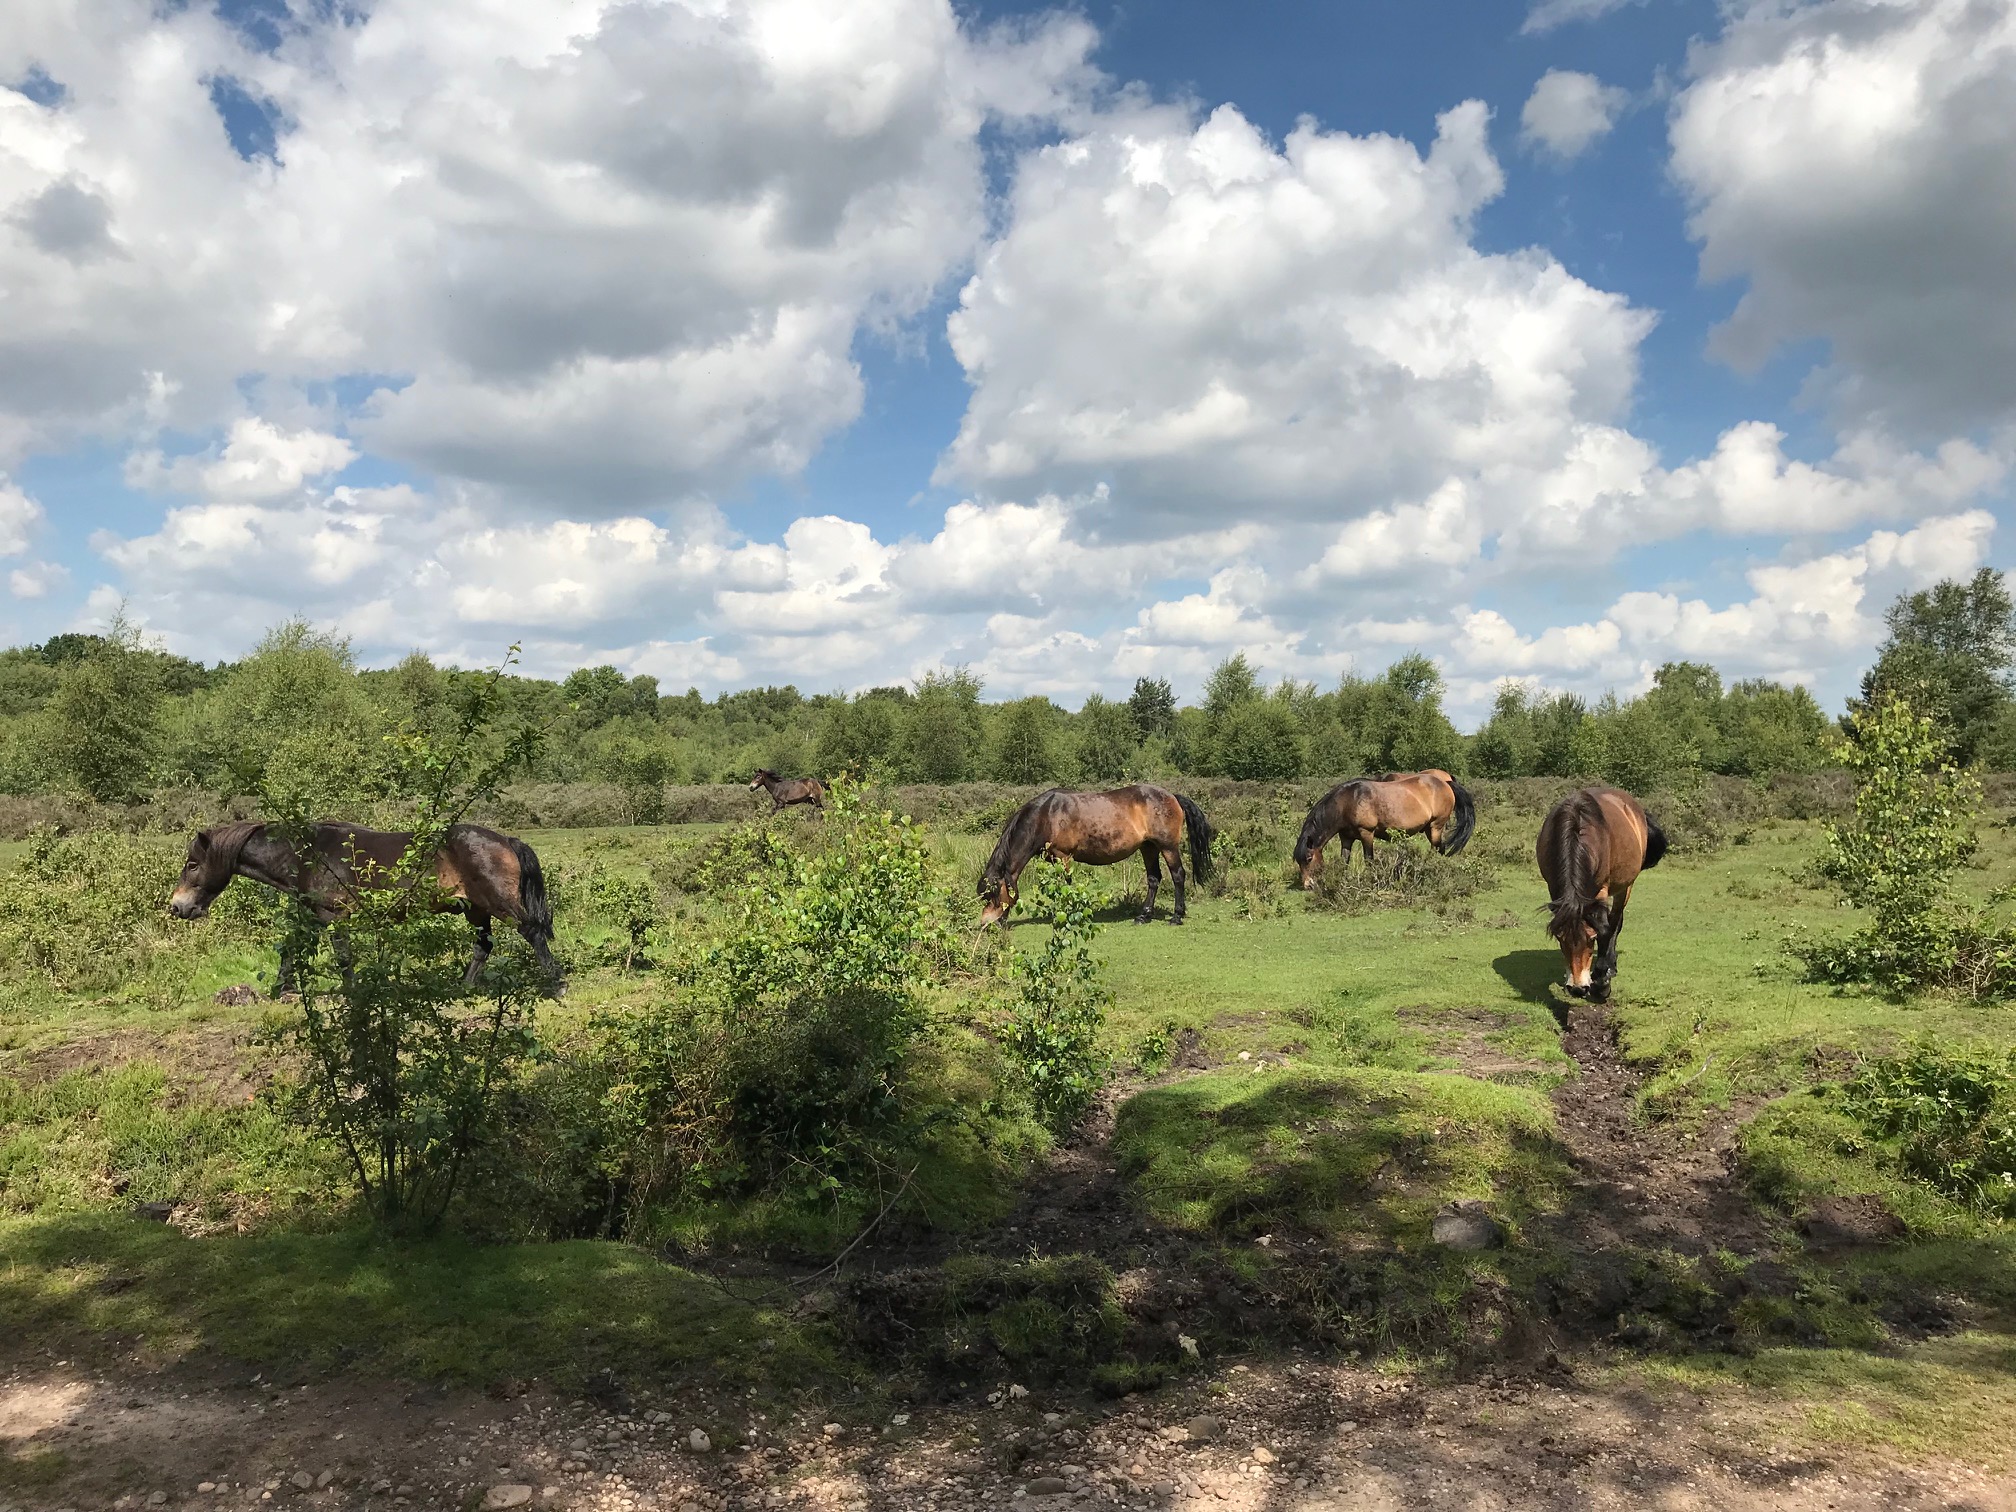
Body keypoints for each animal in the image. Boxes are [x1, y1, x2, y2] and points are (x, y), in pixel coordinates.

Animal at [166, 820, 561, 996]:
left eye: (192, 864)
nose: (176, 907)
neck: (305, 854)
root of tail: (506, 839)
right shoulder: (310, 915)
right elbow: (291, 949)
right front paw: (281, 990)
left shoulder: (334, 916)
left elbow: (343, 958)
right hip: (474, 909)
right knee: (483, 946)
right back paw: (461, 987)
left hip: (499, 905)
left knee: (532, 933)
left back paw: (557, 986)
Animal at [978, 784, 1215, 926]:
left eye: (992, 894)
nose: (986, 924)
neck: (1046, 815)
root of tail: (1172, 796)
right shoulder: (1053, 858)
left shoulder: (1064, 856)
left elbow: (1066, 884)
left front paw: (1066, 914)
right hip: (1148, 847)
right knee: (1154, 878)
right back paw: (1143, 915)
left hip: (1168, 847)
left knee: (1178, 876)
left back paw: (1176, 916)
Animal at [1291, 769, 1475, 887]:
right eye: (1298, 861)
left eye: (1309, 858)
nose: (1308, 885)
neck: (1349, 801)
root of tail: (1445, 783)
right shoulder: (1346, 837)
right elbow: (1344, 861)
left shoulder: (1366, 833)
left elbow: (1369, 860)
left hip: (1436, 827)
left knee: (1438, 849)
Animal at [1536, 786, 1666, 1004]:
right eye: (1561, 939)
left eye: (1592, 938)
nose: (1577, 989)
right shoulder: (1554, 890)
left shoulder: (1601, 893)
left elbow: (1606, 928)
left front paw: (1602, 982)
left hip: (1625, 887)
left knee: (1615, 922)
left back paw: (1609, 967)